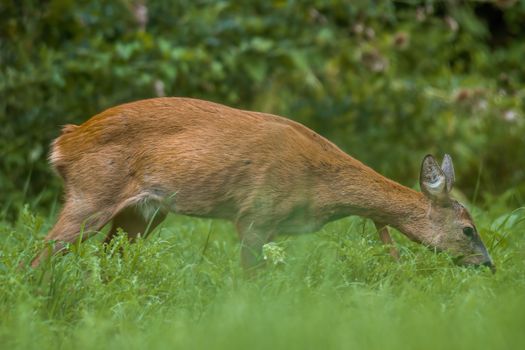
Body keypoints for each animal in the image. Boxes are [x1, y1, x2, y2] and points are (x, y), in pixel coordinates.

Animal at [29, 97, 496, 272]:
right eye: (468, 229)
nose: (490, 265)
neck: (320, 189)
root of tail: (63, 142)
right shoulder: (254, 212)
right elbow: (250, 278)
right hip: (92, 193)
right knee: (37, 256)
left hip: (144, 212)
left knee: (111, 260)